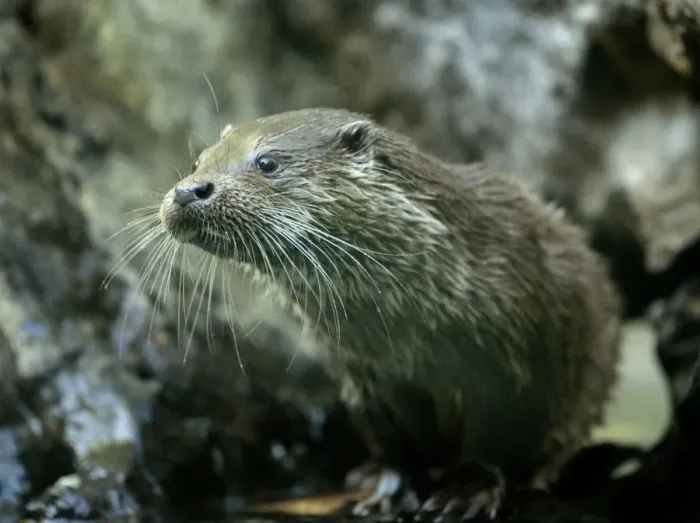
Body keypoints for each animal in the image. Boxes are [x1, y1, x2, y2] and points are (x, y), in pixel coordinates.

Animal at [158, 108, 621, 520]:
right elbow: (396, 448)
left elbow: (496, 442)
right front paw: (390, 490)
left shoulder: (511, 368)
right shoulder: (366, 377)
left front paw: (467, 491)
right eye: (199, 161)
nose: (188, 190)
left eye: (267, 162)